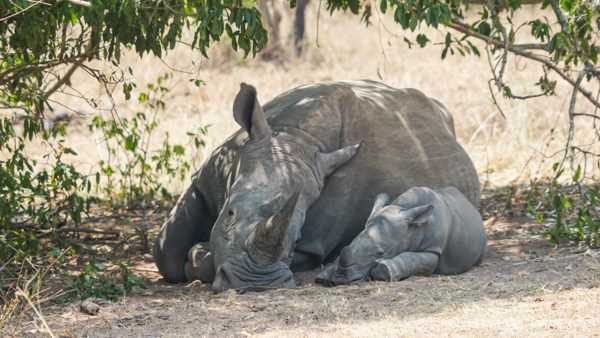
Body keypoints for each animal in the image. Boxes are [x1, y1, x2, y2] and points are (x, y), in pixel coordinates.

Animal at [316, 187, 486, 286]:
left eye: (381, 253)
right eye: (349, 244)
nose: (342, 280)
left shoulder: (432, 249)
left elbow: (412, 258)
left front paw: (383, 270)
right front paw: (323, 276)